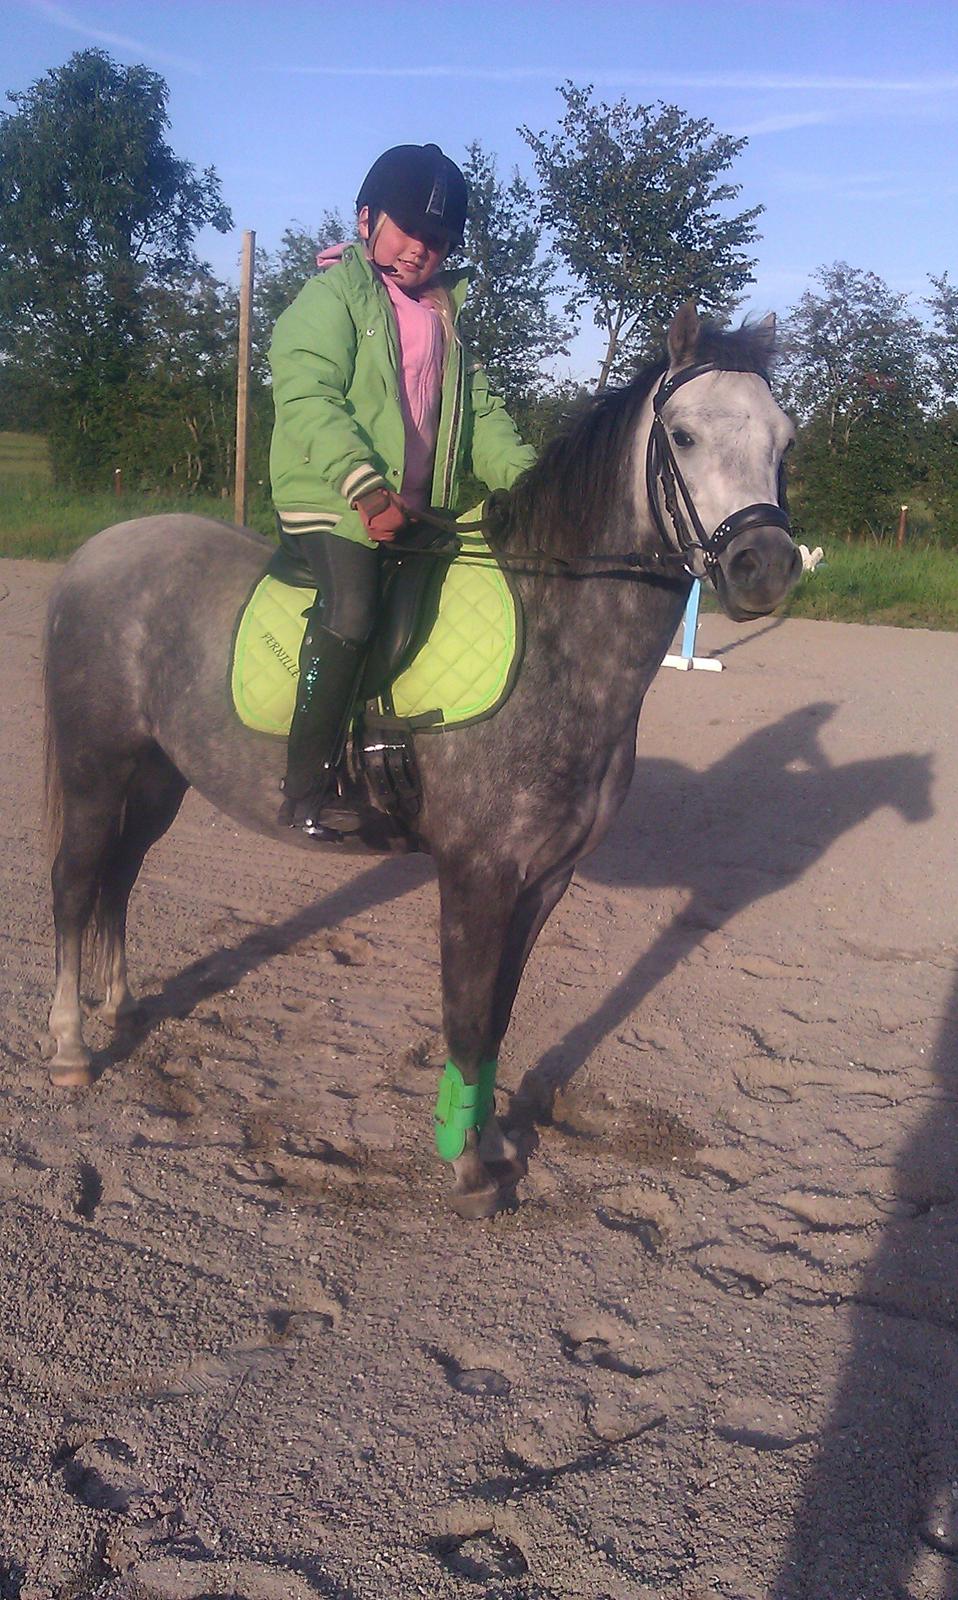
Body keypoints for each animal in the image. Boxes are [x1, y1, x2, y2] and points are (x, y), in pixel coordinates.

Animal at [43, 303, 801, 1218]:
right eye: (683, 436)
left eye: (784, 441)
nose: (765, 566)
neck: (558, 639)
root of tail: (97, 553)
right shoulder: (477, 873)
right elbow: (466, 1016)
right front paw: (465, 1168)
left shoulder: (546, 879)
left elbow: (499, 1016)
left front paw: (494, 1142)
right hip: (95, 766)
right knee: (76, 884)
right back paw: (71, 1050)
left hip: (159, 777)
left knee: (120, 877)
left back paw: (121, 1012)